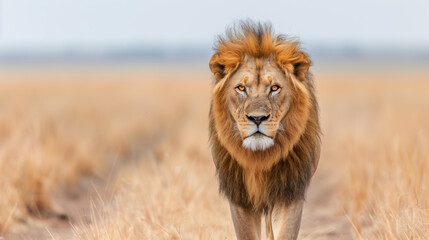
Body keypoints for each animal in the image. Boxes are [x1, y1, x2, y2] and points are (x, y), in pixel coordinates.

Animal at [209, 21, 320, 240]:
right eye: (241, 88)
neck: (260, 158)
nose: (257, 118)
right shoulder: (240, 197)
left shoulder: (289, 192)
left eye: (275, 88)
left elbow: (285, 233)